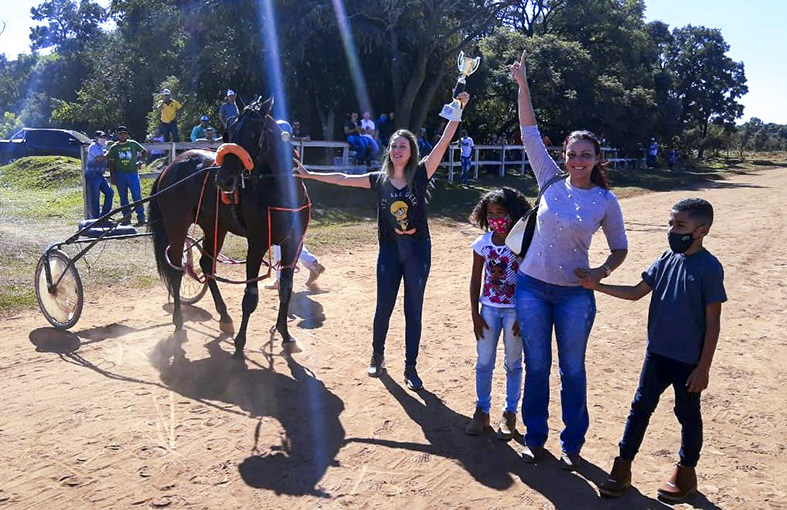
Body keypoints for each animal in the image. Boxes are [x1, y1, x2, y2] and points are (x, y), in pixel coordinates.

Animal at [149, 97, 310, 359]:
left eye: (255, 133)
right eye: (229, 132)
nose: (224, 179)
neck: (279, 192)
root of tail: (171, 166)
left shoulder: (292, 244)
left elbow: (286, 289)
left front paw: (285, 335)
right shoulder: (256, 245)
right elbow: (250, 298)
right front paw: (240, 343)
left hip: (215, 228)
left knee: (206, 264)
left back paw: (224, 316)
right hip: (176, 226)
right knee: (176, 270)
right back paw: (179, 321)